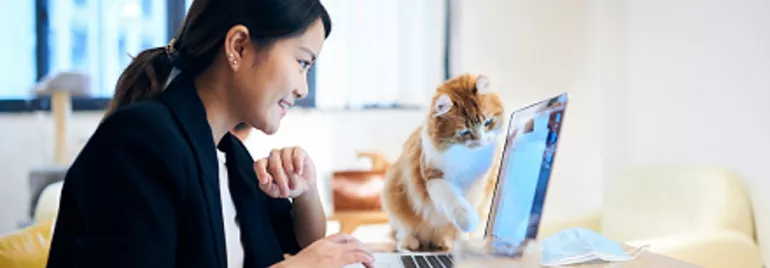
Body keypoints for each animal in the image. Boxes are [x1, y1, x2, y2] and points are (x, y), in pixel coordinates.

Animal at [380, 74, 504, 251]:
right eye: (464, 132)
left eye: (487, 123)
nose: (481, 141)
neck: (466, 157)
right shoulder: (433, 177)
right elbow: (455, 202)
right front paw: (467, 220)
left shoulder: (479, 185)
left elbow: (465, 221)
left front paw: (463, 241)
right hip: (393, 192)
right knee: (403, 229)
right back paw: (410, 243)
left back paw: (444, 242)